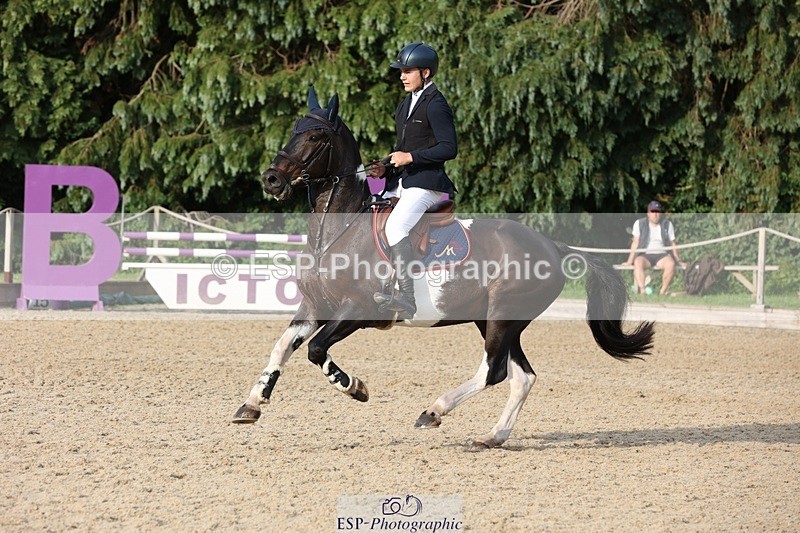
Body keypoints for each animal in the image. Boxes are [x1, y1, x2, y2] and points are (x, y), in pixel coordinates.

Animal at [232, 87, 654, 450]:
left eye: (316, 136)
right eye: (294, 130)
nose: (272, 179)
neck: (338, 231)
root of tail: (551, 246)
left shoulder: (357, 310)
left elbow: (316, 349)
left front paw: (355, 387)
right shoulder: (315, 306)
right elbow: (282, 346)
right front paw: (252, 404)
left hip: (502, 316)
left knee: (495, 371)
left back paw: (433, 411)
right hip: (494, 318)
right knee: (521, 376)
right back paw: (493, 436)